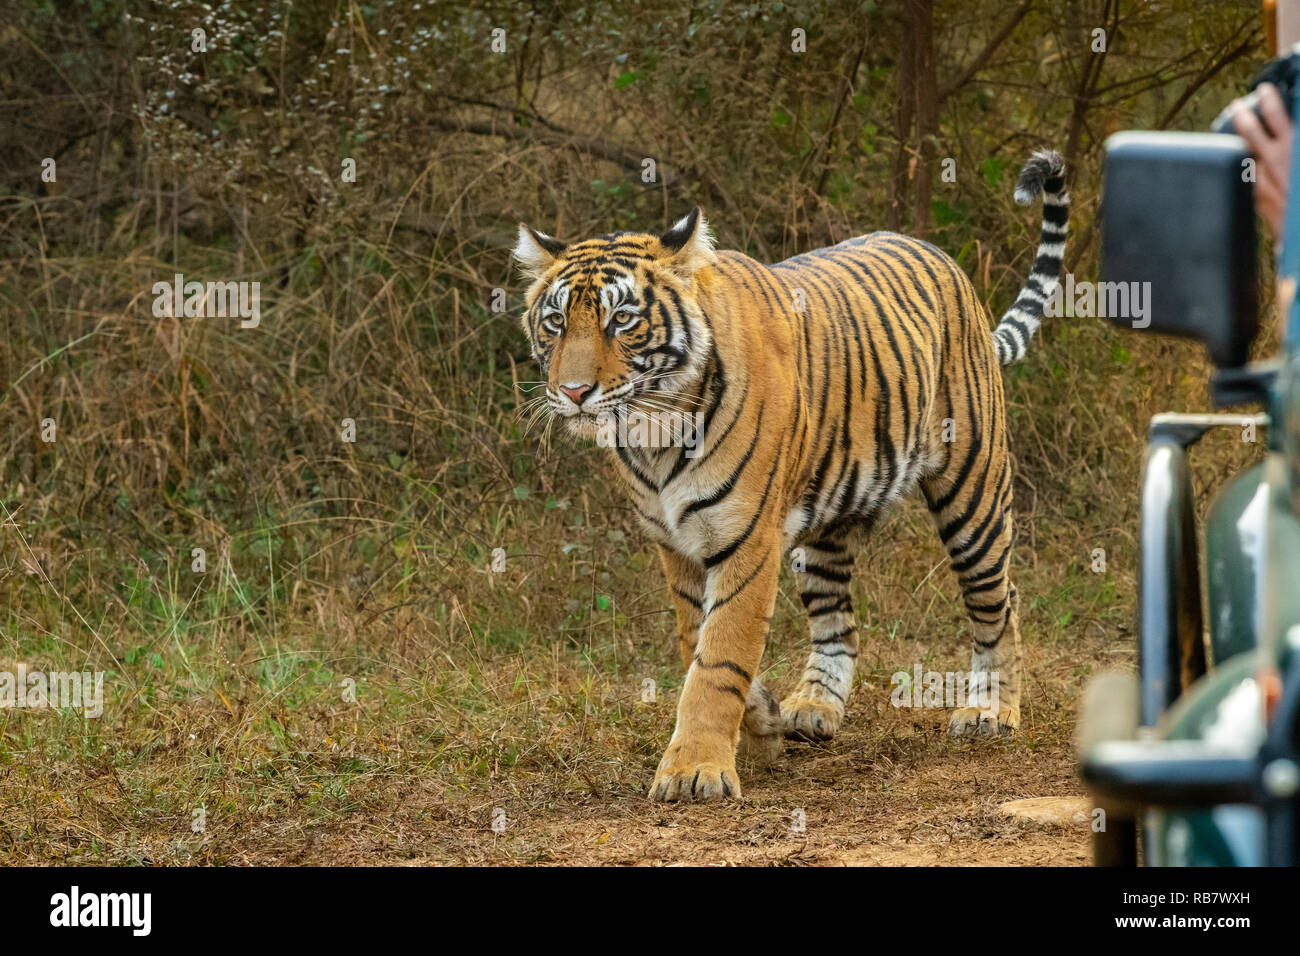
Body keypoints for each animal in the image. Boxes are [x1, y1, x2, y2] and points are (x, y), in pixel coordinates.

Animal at [513, 150, 1068, 802]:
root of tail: (940, 255)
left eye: (622, 319)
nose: (573, 392)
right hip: (828, 520)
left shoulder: (746, 540)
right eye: (555, 322)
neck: (654, 434)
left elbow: (719, 655)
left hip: (972, 494)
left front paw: (694, 770)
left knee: (998, 601)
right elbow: (697, 642)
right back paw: (814, 708)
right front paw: (763, 725)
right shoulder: (677, 547)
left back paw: (990, 711)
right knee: (839, 622)